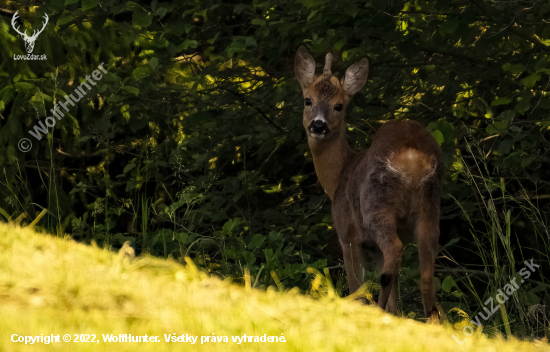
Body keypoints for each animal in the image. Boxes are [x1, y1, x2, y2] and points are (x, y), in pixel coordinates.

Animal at [298, 45, 444, 324]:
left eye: (339, 106)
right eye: (307, 100)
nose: (318, 125)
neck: (339, 175)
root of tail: (413, 156)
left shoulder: (348, 234)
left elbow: (356, 288)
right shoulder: (373, 249)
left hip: (376, 205)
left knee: (394, 251)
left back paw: (378, 309)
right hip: (430, 208)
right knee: (426, 274)